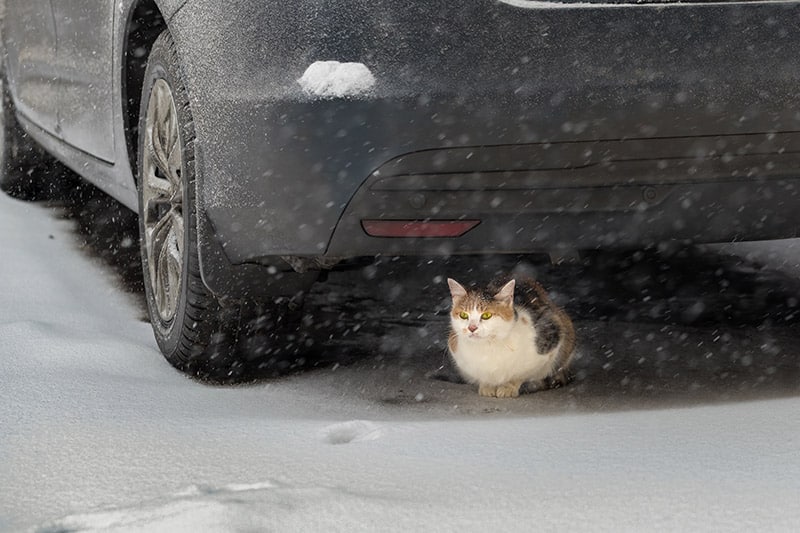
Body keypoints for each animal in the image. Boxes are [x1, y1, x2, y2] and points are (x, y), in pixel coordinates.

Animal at [444, 276, 576, 396]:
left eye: (486, 315)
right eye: (463, 315)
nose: (471, 328)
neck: (488, 347)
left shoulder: (550, 337)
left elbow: (521, 374)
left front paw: (508, 388)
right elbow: (483, 376)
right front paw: (487, 386)